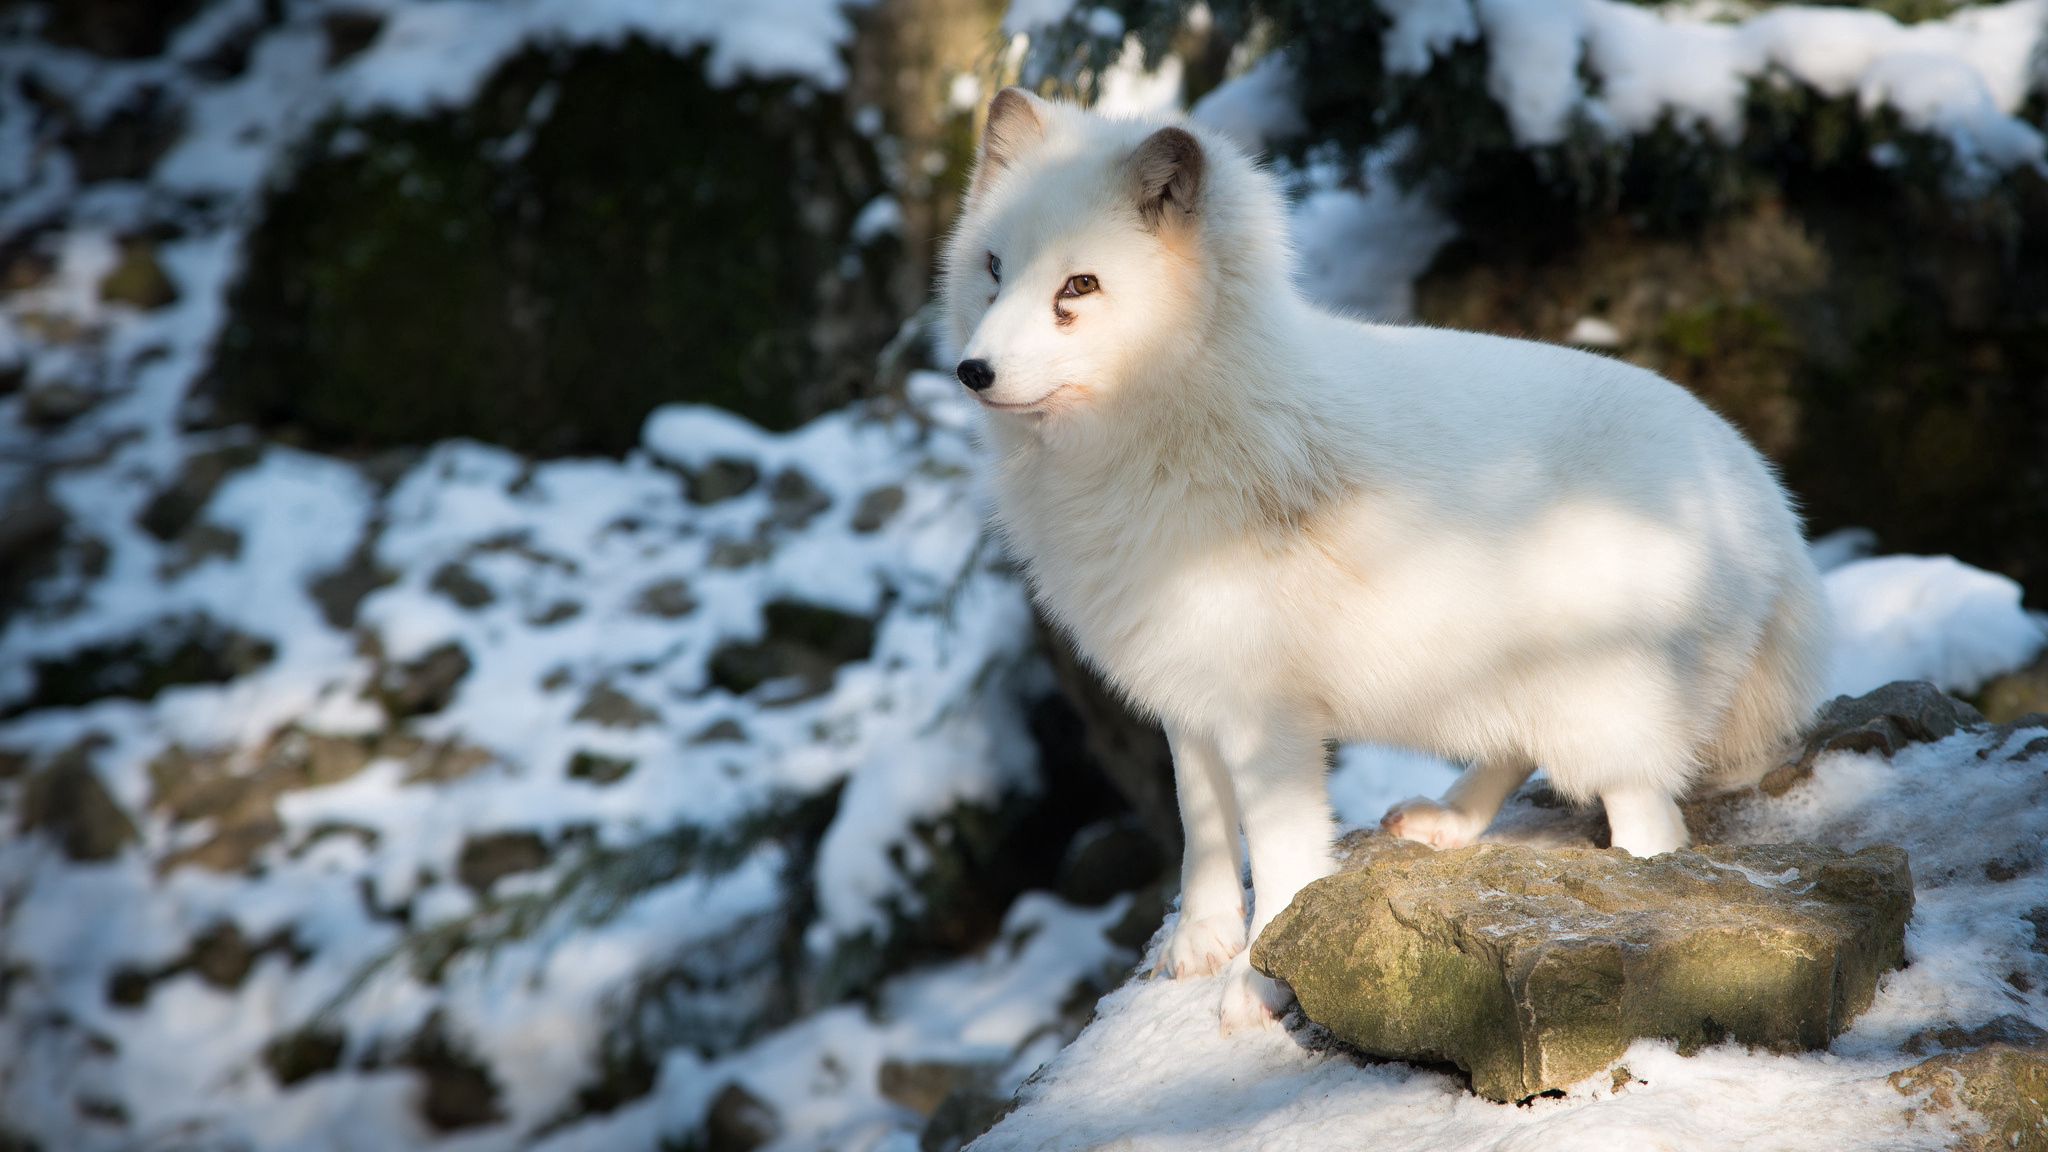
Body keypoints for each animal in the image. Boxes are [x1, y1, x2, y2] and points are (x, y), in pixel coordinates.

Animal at [937, 85, 1826, 1024]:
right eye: (994, 267)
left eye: (1079, 286)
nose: (972, 371)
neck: (1175, 428)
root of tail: (1764, 495)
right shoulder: (1187, 691)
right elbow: (1202, 827)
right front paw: (1201, 944)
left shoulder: (1268, 717)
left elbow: (1282, 858)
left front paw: (1260, 981)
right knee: (1516, 749)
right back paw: (1447, 823)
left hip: (1609, 710)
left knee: (1653, 826)